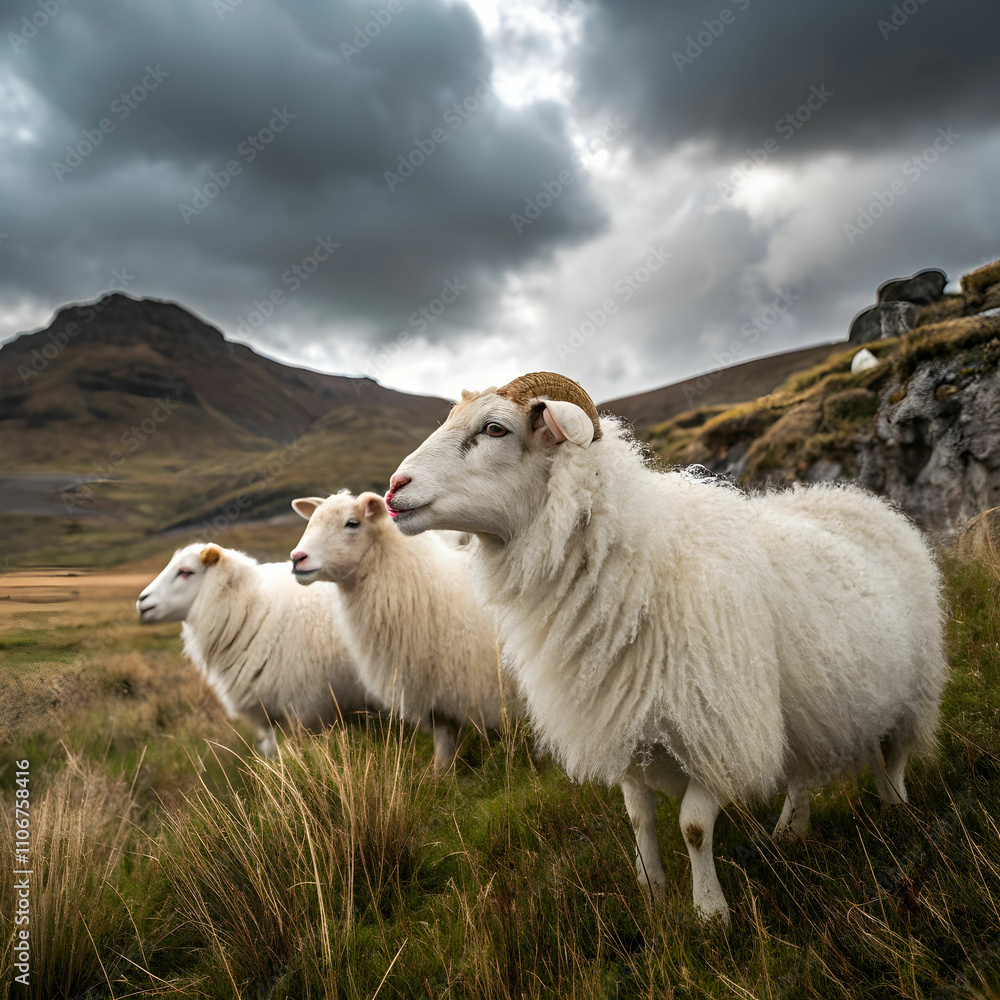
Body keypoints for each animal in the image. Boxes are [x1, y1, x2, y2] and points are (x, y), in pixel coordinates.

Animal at [289, 491, 508, 774]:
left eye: (352, 523)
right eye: (312, 521)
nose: (297, 557)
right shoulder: (432, 689)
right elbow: (444, 736)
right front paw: (440, 774)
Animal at [383, 371, 948, 922]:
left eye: (495, 429)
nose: (393, 488)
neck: (637, 561)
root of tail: (856, 497)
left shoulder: (718, 725)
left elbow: (693, 826)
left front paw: (709, 912)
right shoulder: (619, 714)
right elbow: (639, 815)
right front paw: (651, 888)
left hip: (913, 683)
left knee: (896, 750)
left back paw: (895, 806)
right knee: (816, 763)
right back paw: (794, 828)